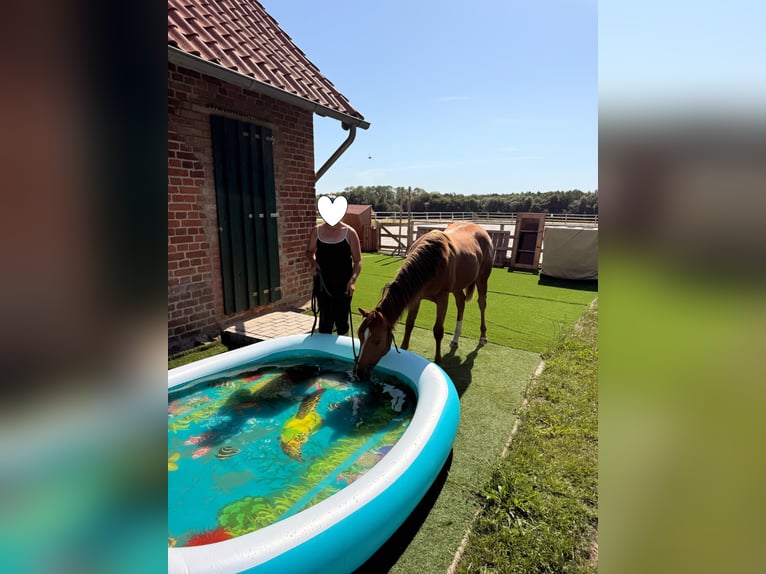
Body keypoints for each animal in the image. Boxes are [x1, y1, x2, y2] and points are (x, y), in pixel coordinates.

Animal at [353, 222, 494, 381]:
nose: (359, 372)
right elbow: (409, 325)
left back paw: (483, 336)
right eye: (359, 336)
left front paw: (438, 361)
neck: (432, 263)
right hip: (458, 285)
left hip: (483, 277)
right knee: (461, 302)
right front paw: (405, 350)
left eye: (377, 341)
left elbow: (438, 331)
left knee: (482, 303)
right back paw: (455, 339)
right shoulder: (416, 297)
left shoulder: (442, 299)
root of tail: (479, 228)